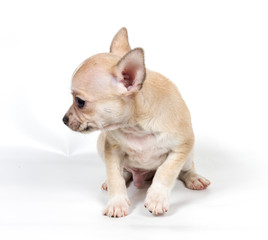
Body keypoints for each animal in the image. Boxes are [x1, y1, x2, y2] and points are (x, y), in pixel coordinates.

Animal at [62, 27, 209, 218]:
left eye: (80, 102)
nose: (64, 120)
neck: (136, 127)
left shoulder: (181, 147)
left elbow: (166, 171)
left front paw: (157, 198)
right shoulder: (111, 149)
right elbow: (114, 176)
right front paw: (116, 202)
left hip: (189, 155)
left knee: (185, 169)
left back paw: (194, 178)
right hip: (101, 144)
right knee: (124, 173)